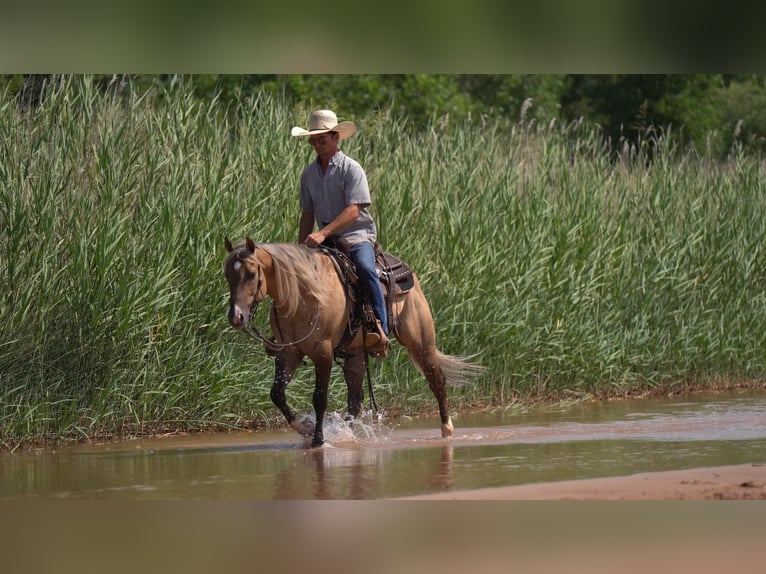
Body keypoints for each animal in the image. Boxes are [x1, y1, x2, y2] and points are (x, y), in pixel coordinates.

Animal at [225, 236, 484, 448]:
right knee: (355, 401)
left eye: (251, 274)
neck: (301, 296)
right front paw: (305, 428)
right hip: (356, 353)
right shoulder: (289, 353)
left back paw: (447, 430)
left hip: (421, 342)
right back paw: (347, 434)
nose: (237, 317)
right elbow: (277, 394)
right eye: (228, 275)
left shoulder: (323, 353)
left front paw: (318, 440)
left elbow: (319, 398)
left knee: (437, 380)